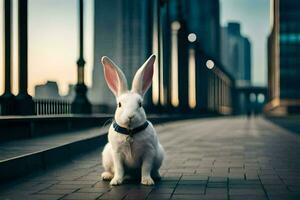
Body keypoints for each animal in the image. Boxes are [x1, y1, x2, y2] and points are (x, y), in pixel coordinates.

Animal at [101, 54, 166, 186]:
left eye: (140, 104)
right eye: (119, 105)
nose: (130, 116)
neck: (130, 131)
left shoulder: (149, 152)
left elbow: (146, 168)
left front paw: (147, 181)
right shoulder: (117, 153)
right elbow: (119, 168)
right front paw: (116, 182)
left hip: (159, 155)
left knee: (154, 169)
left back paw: (156, 176)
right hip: (106, 156)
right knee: (112, 170)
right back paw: (107, 176)